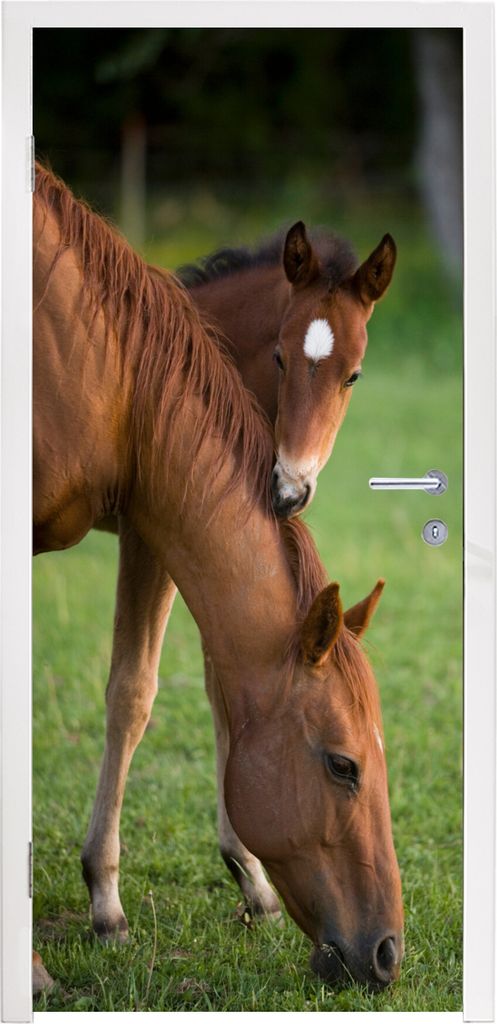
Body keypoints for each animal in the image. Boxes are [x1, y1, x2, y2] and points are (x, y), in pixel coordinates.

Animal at [33, 164, 403, 989]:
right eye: (281, 355)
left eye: (353, 374)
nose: (291, 486)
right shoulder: (150, 535)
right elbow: (134, 695)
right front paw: (106, 902)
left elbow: (218, 689)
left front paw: (249, 878)